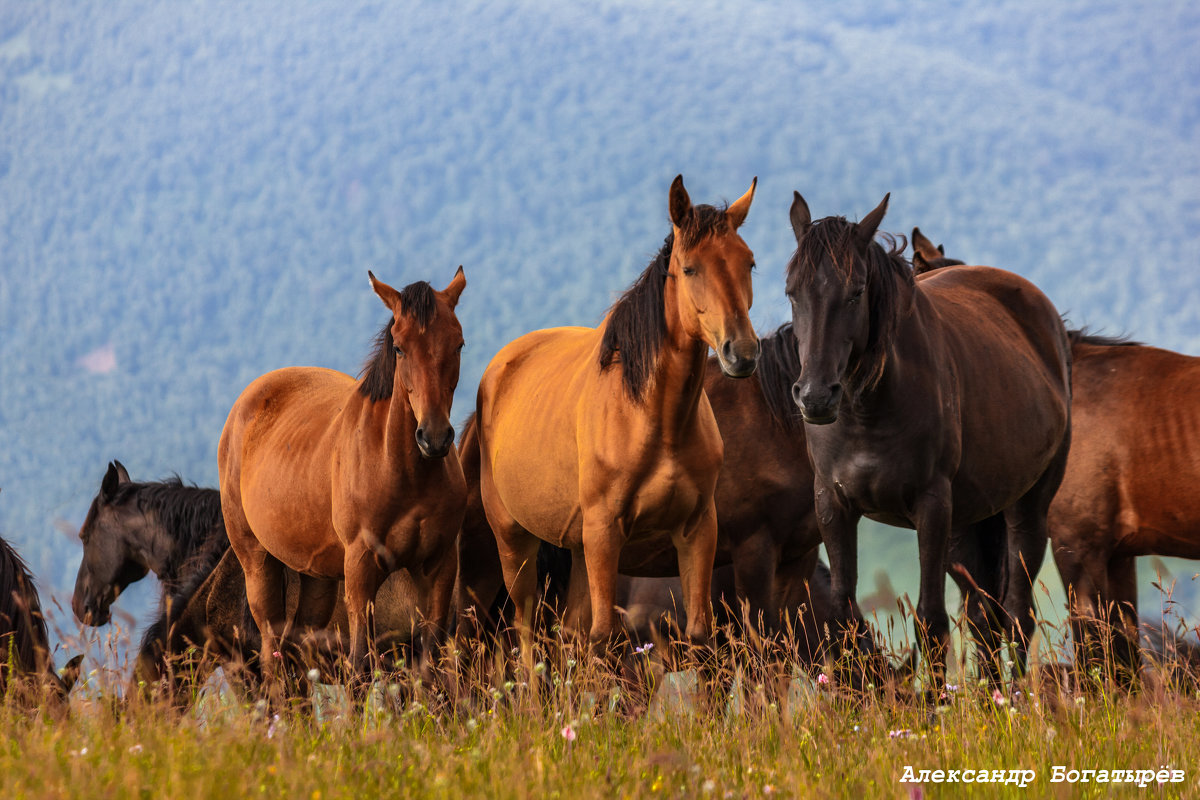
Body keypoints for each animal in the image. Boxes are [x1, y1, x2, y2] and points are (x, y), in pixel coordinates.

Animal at [220, 267, 468, 676]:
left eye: (459, 344)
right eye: (399, 347)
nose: (434, 437)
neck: (402, 470)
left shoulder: (438, 568)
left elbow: (429, 662)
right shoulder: (361, 569)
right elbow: (361, 662)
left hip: (316, 576)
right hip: (256, 561)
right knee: (273, 654)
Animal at [472, 178, 753, 652]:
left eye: (748, 262)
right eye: (690, 269)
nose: (742, 352)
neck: (655, 419)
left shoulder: (697, 531)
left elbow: (698, 634)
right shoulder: (606, 533)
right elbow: (605, 637)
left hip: (579, 547)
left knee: (570, 632)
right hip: (516, 542)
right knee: (527, 632)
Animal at [782, 190, 1075, 686]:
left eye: (856, 291)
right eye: (792, 293)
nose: (816, 397)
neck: (871, 409)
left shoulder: (932, 507)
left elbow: (930, 620)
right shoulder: (833, 506)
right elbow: (842, 620)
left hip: (1026, 509)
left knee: (1017, 614)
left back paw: (1017, 698)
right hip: (971, 522)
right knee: (985, 615)